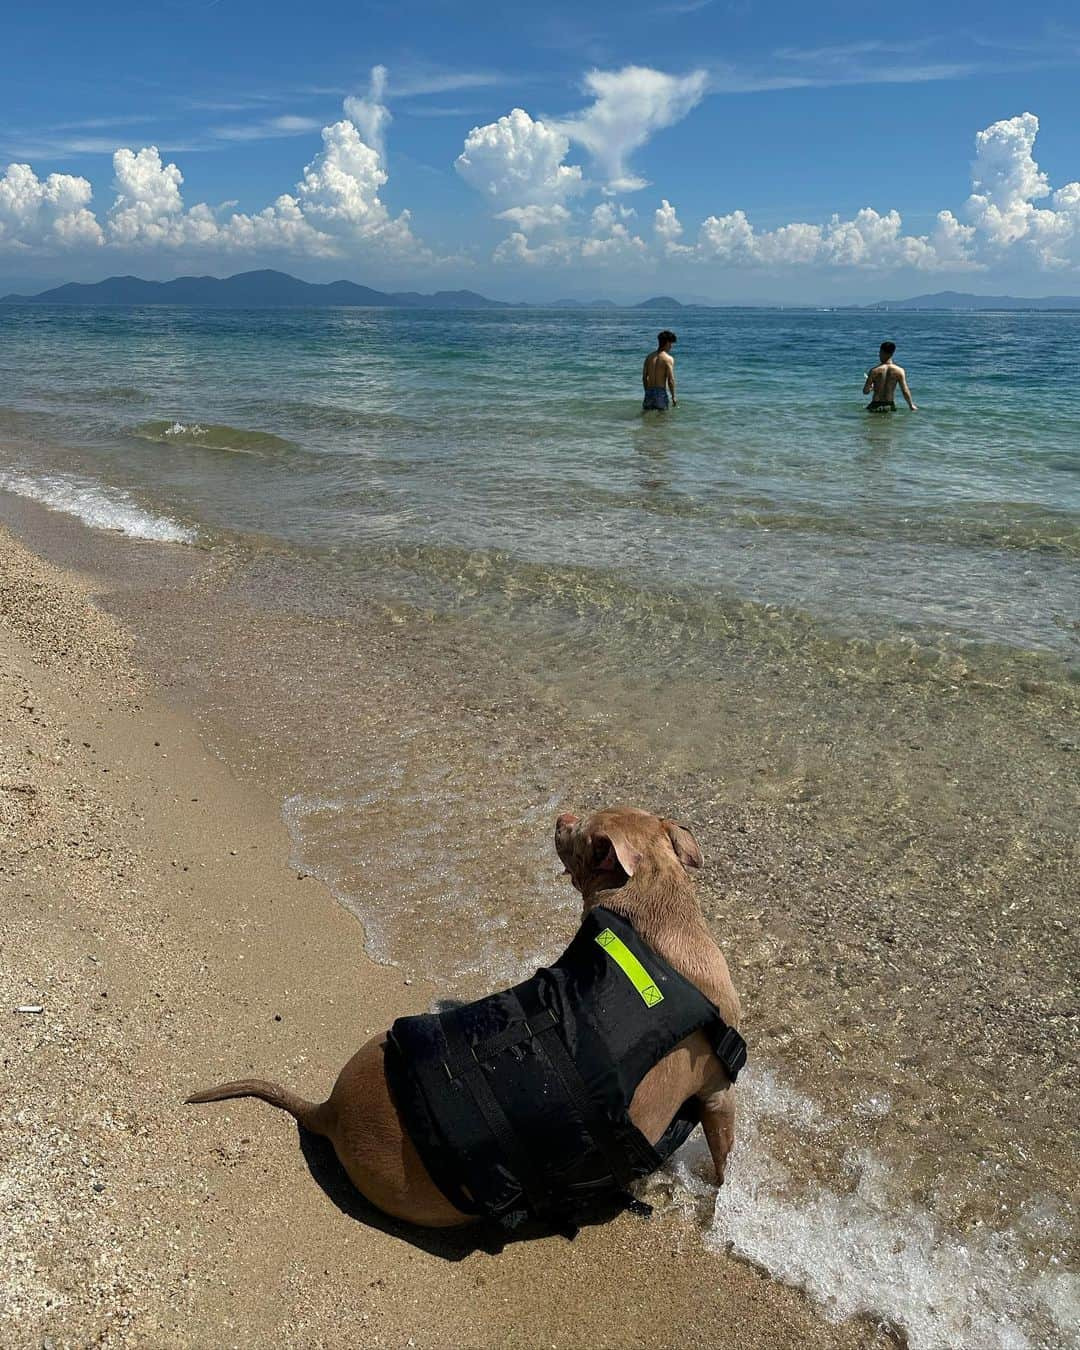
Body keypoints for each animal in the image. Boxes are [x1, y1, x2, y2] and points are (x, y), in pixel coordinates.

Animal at [187, 804, 745, 1231]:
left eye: (580, 833)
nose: (561, 815)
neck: (651, 911)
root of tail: (329, 1111)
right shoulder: (718, 1090)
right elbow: (723, 1157)